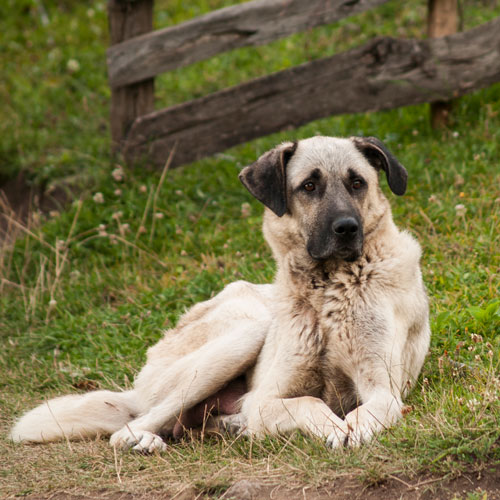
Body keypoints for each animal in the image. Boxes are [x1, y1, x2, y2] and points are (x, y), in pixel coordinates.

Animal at [9, 137, 430, 454]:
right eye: (309, 186)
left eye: (357, 182)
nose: (347, 228)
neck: (327, 289)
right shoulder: (266, 399)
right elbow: (307, 402)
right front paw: (332, 425)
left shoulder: (383, 390)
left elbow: (364, 413)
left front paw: (351, 429)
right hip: (244, 333)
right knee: (129, 427)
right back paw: (147, 439)